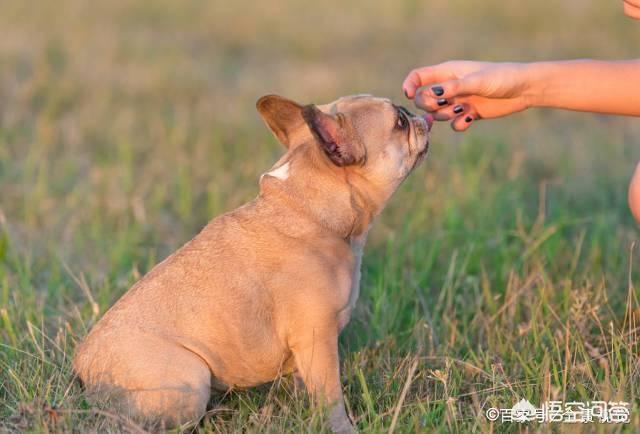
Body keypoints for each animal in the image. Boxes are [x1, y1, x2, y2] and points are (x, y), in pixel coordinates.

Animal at [74, 93, 436, 432]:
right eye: (399, 122)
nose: (421, 117)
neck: (309, 210)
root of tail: (84, 370)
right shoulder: (317, 339)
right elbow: (331, 398)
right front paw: (343, 427)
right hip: (190, 378)